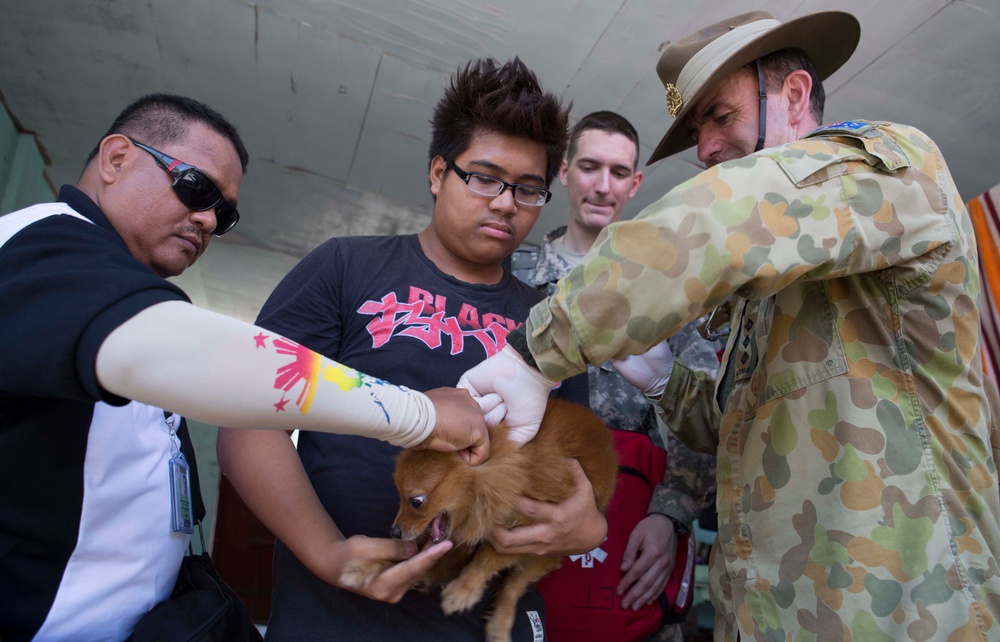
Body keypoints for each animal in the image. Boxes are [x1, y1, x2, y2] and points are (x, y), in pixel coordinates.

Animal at [342, 396, 616, 640]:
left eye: (416, 501)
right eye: (398, 495)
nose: (395, 532)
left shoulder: (530, 535)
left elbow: (487, 559)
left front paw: (464, 589)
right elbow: (414, 551)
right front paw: (369, 567)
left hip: (546, 556)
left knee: (513, 587)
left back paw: (499, 624)